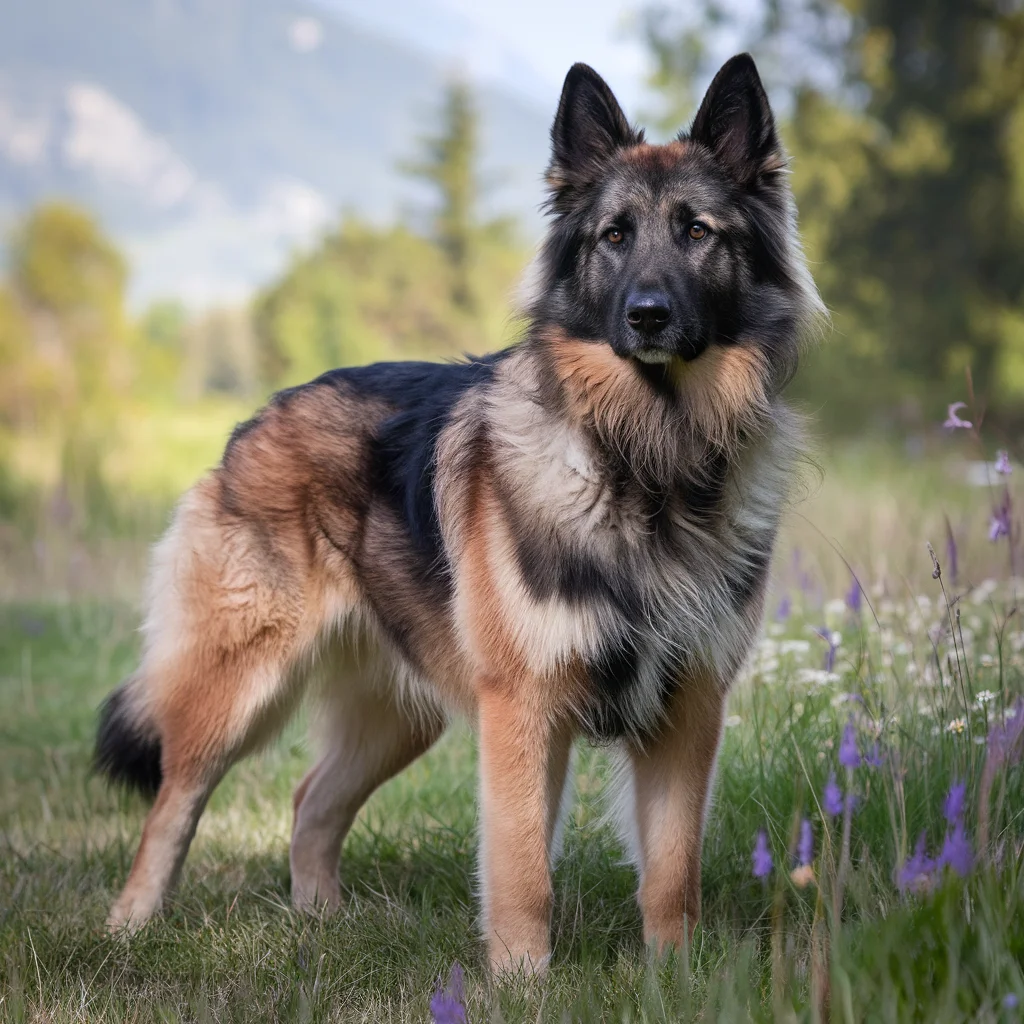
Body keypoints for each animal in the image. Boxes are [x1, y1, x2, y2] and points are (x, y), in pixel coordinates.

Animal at [94, 51, 823, 970]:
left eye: (698, 232)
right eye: (614, 236)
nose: (648, 316)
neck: (644, 460)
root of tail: (260, 416)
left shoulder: (688, 708)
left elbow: (671, 870)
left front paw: (677, 975)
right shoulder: (522, 710)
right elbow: (521, 868)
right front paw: (521, 981)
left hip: (397, 717)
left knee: (310, 799)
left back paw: (321, 923)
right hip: (238, 689)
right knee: (173, 803)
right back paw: (130, 927)